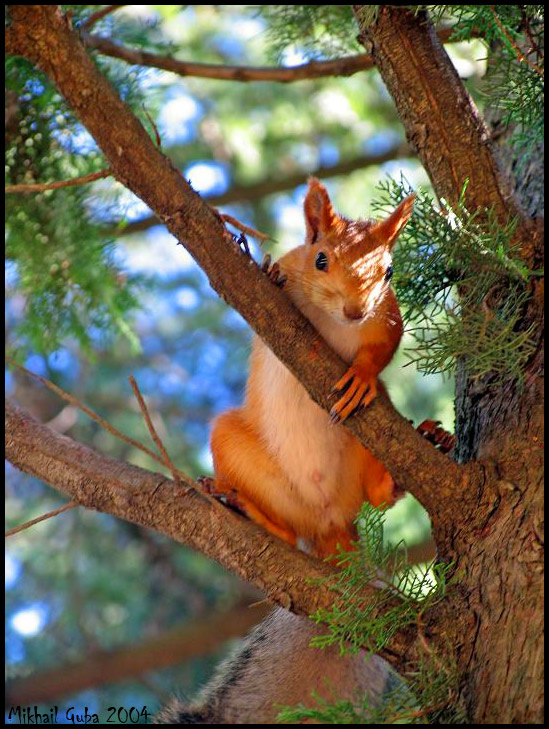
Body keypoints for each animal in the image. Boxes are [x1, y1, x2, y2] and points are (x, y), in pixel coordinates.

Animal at [202, 178, 415, 558]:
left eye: (389, 271)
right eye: (320, 259)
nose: (355, 311)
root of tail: (330, 524)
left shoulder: (386, 315)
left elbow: (386, 345)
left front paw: (363, 374)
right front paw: (270, 274)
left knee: (377, 500)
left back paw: (399, 472)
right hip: (242, 456)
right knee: (287, 534)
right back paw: (247, 509)